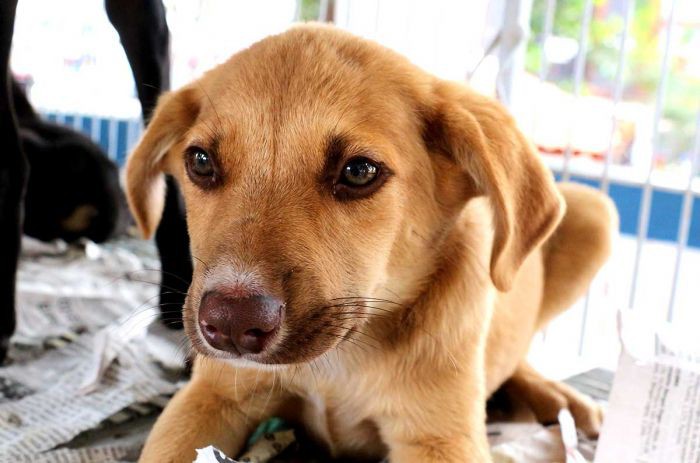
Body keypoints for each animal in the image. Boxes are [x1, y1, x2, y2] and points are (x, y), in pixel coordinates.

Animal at [127, 24, 616, 463]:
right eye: (200, 162)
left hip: (595, 213)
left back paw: (560, 398)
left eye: (359, 171)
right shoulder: (209, 397)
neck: (343, 358)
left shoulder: (440, 438)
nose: (230, 324)